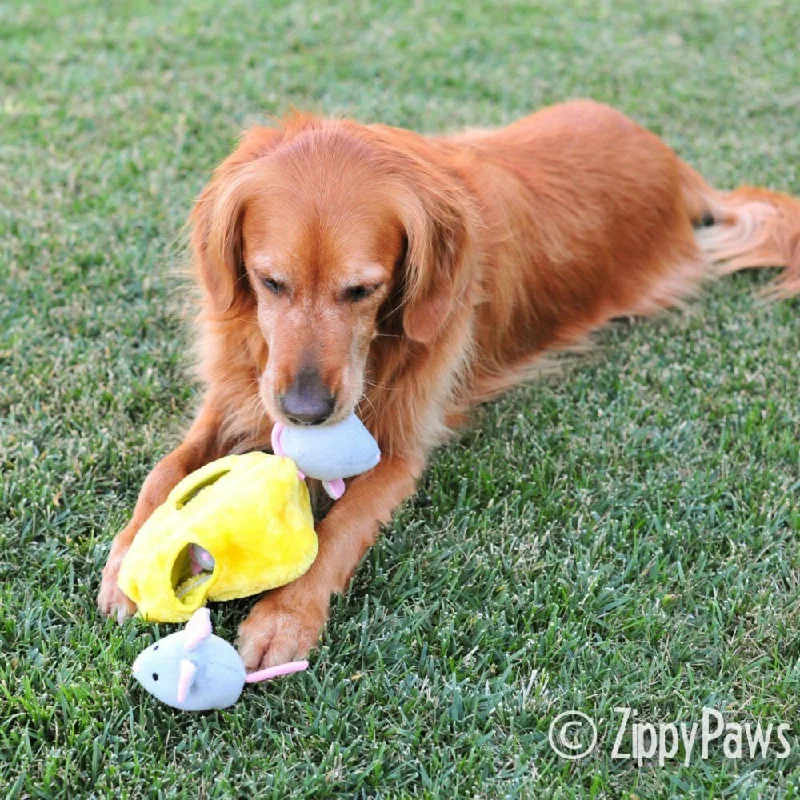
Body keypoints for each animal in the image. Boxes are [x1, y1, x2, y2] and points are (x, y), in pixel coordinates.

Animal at [98, 100, 800, 668]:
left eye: (363, 290)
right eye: (270, 282)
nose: (305, 411)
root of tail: (674, 163)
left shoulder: (399, 449)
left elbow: (337, 531)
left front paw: (284, 618)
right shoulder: (236, 392)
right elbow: (165, 470)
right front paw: (129, 557)